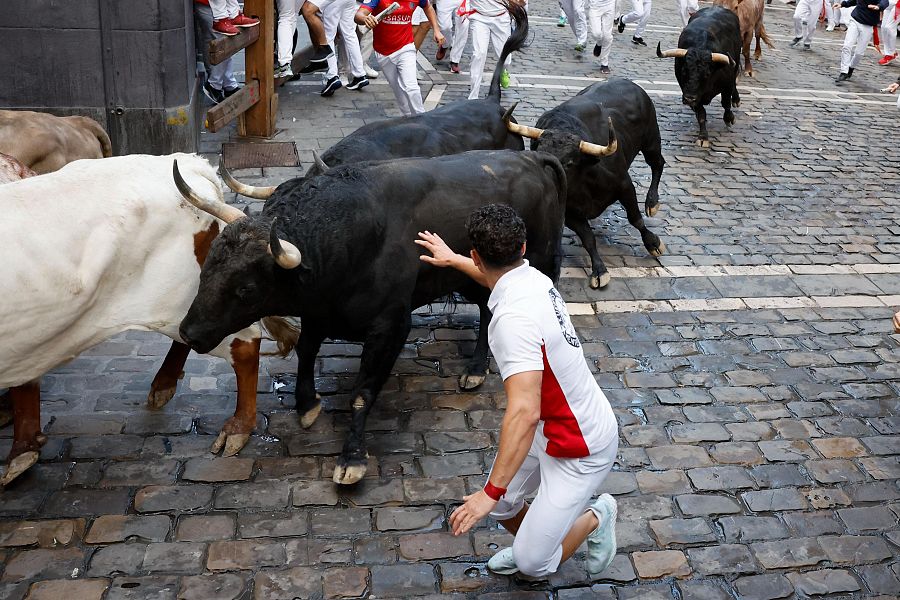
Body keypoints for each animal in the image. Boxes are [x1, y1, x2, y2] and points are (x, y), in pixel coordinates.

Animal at [175, 150, 564, 482]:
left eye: (246, 289)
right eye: (207, 266)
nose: (189, 332)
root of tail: (530, 158)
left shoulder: (391, 325)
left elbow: (362, 392)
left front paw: (352, 458)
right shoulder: (318, 312)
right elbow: (306, 351)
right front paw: (307, 404)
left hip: (535, 262)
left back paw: (480, 368)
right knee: (486, 307)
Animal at [506, 78, 668, 290]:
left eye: (569, 163)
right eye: (539, 155)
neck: (584, 183)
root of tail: (628, 82)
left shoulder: (624, 185)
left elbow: (635, 219)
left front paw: (653, 243)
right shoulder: (569, 212)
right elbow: (588, 238)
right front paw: (599, 270)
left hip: (651, 140)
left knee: (658, 163)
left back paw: (652, 202)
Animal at [656, 5, 740, 146]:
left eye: (707, 74)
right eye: (684, 71)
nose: (689, 98)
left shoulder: (727, 85)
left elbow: (726, 103)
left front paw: (729, 118)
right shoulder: (691, 94)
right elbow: (701, 114)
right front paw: (703, 137)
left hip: (737, 60)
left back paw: (736, 100)